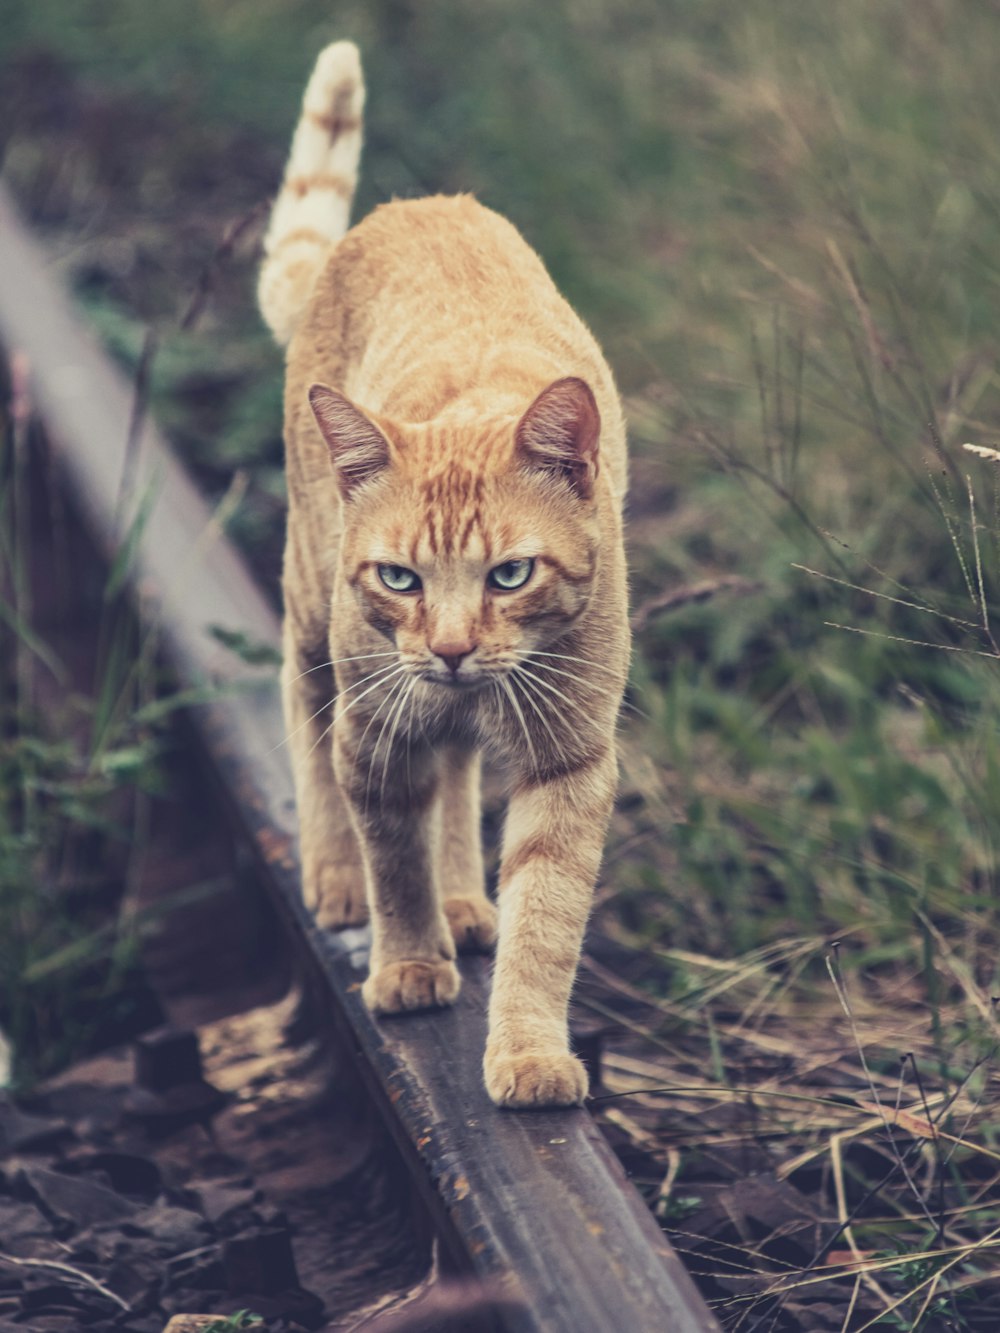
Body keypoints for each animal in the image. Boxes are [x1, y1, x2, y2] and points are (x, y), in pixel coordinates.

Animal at [262, 41, 629, 1109]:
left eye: (509, 575)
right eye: (399, 577)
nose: (456, 646)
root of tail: (407, 205)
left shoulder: (570, 758)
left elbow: (545, 920)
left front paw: (527, 1050)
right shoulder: (375, 727)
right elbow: (395, 858)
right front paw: (410, 962)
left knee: (460, 765)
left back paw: (468, 895)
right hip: (314, 610)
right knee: (301, 706)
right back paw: (337, 876)